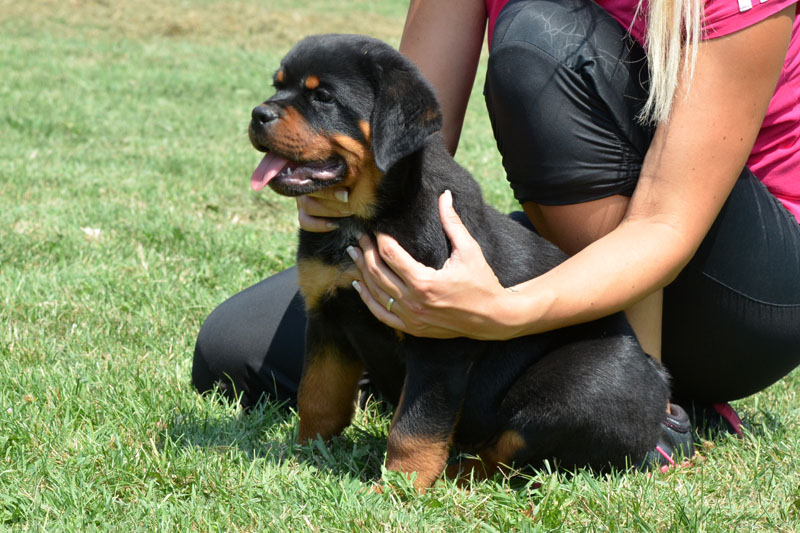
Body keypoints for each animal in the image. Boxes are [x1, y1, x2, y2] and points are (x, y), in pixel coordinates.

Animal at [248, 34, 668, 490]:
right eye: (277, 86)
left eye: (323, 96)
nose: (258, 114)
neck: (366, 218)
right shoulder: (327, 316)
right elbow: (318, 397)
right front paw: (302, 455)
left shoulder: (440, 341)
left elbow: (414, 426)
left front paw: (398, 487)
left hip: (585, 385)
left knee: (511, 455)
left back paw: (454, 473)